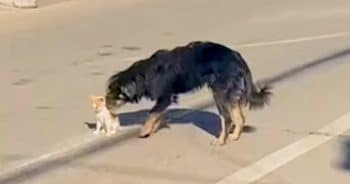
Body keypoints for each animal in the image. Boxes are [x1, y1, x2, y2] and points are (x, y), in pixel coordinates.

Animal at [105, 40, 272, 145]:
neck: (144, 75)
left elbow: (152, 113)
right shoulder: (166, 99)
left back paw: (223, 140)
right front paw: (153, 128)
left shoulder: (165, 97)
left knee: (231, 118)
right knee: (236, 117)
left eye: (115, 95)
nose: (106, 105)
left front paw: (144, 130)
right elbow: (158, 114)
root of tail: (237, 57)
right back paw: (232, 135)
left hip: (220, 91)